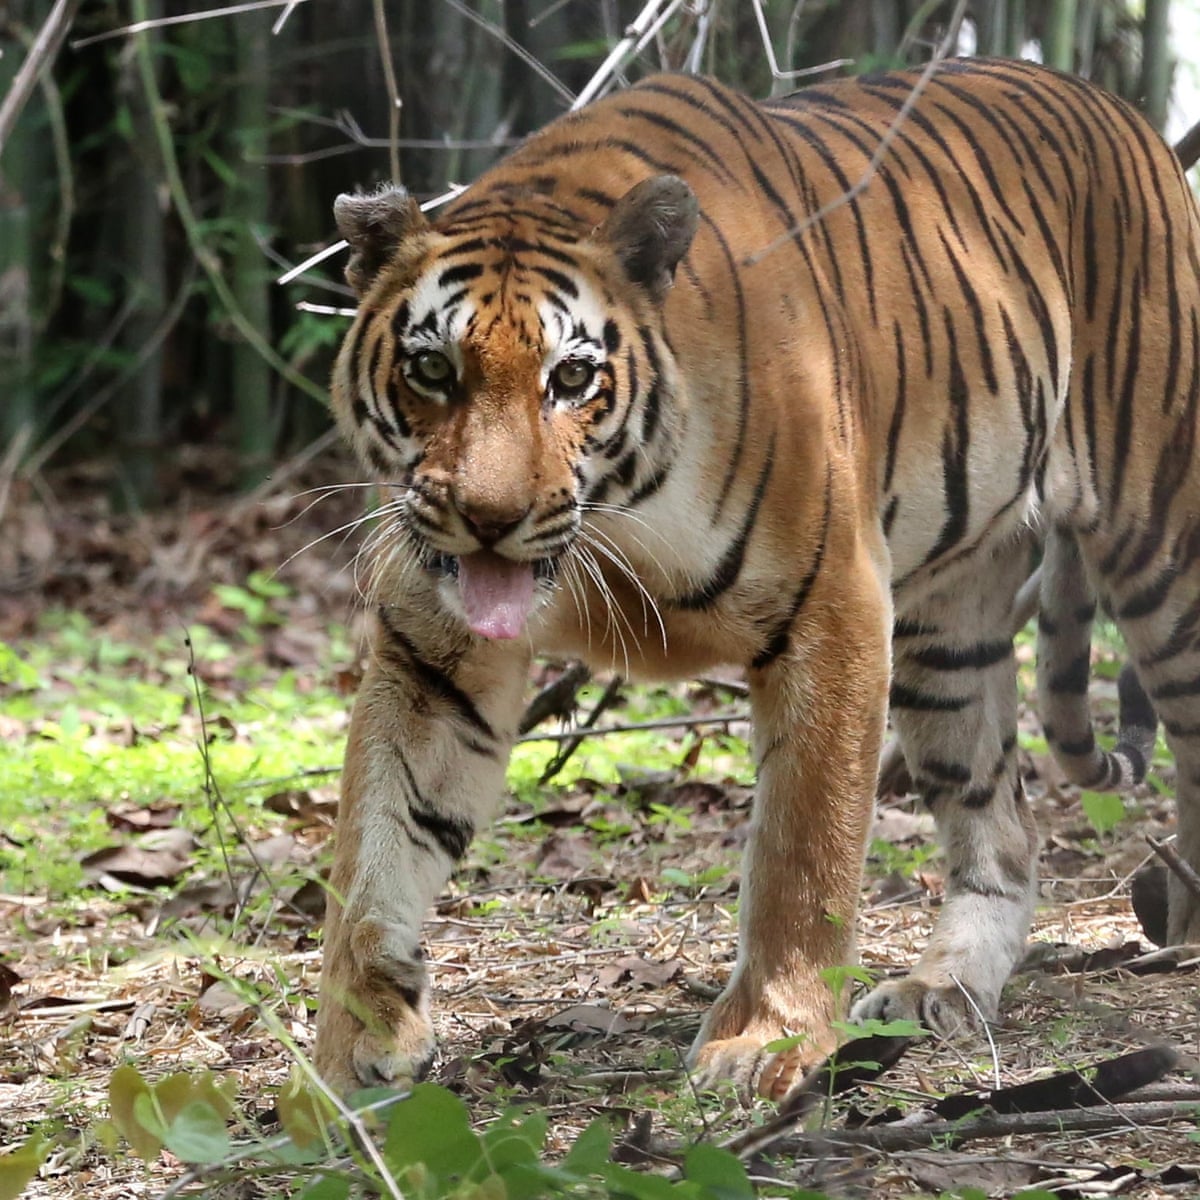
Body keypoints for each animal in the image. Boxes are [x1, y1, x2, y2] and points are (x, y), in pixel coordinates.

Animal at [312, 56, 1200, 1101]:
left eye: (571, 378)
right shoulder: (434, 653)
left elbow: (802, 855)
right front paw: (357, 1044)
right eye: (432, 369)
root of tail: (1119, 109)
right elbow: (376, 848)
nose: (490, 518)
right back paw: (941, 990)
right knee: (1005, 829)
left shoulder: (837, 608)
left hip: (1161, 549)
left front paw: (768, 1042)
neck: (617, 522)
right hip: (950, 631)